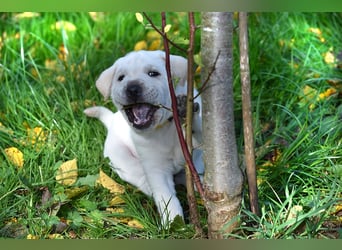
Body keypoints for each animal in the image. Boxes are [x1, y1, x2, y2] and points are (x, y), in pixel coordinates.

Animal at [85, 49, 203, 226]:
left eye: (153, 73)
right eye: (121, 78)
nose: (132, 88)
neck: (166, 126)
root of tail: (111, 121)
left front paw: (187, 114)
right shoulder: (156, 169)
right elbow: (167, 199)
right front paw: (173, 224)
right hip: (122, 160)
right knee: (140, 177)